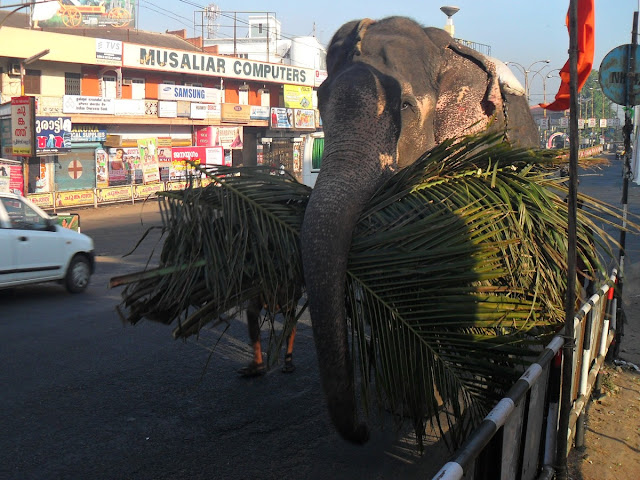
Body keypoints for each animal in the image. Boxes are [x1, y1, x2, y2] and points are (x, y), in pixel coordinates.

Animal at [300, 15, 540, 446]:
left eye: (406, 107)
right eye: (320, 103)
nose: (362, 430)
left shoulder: (477, 164)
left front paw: (439, 409)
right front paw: (405, 408)